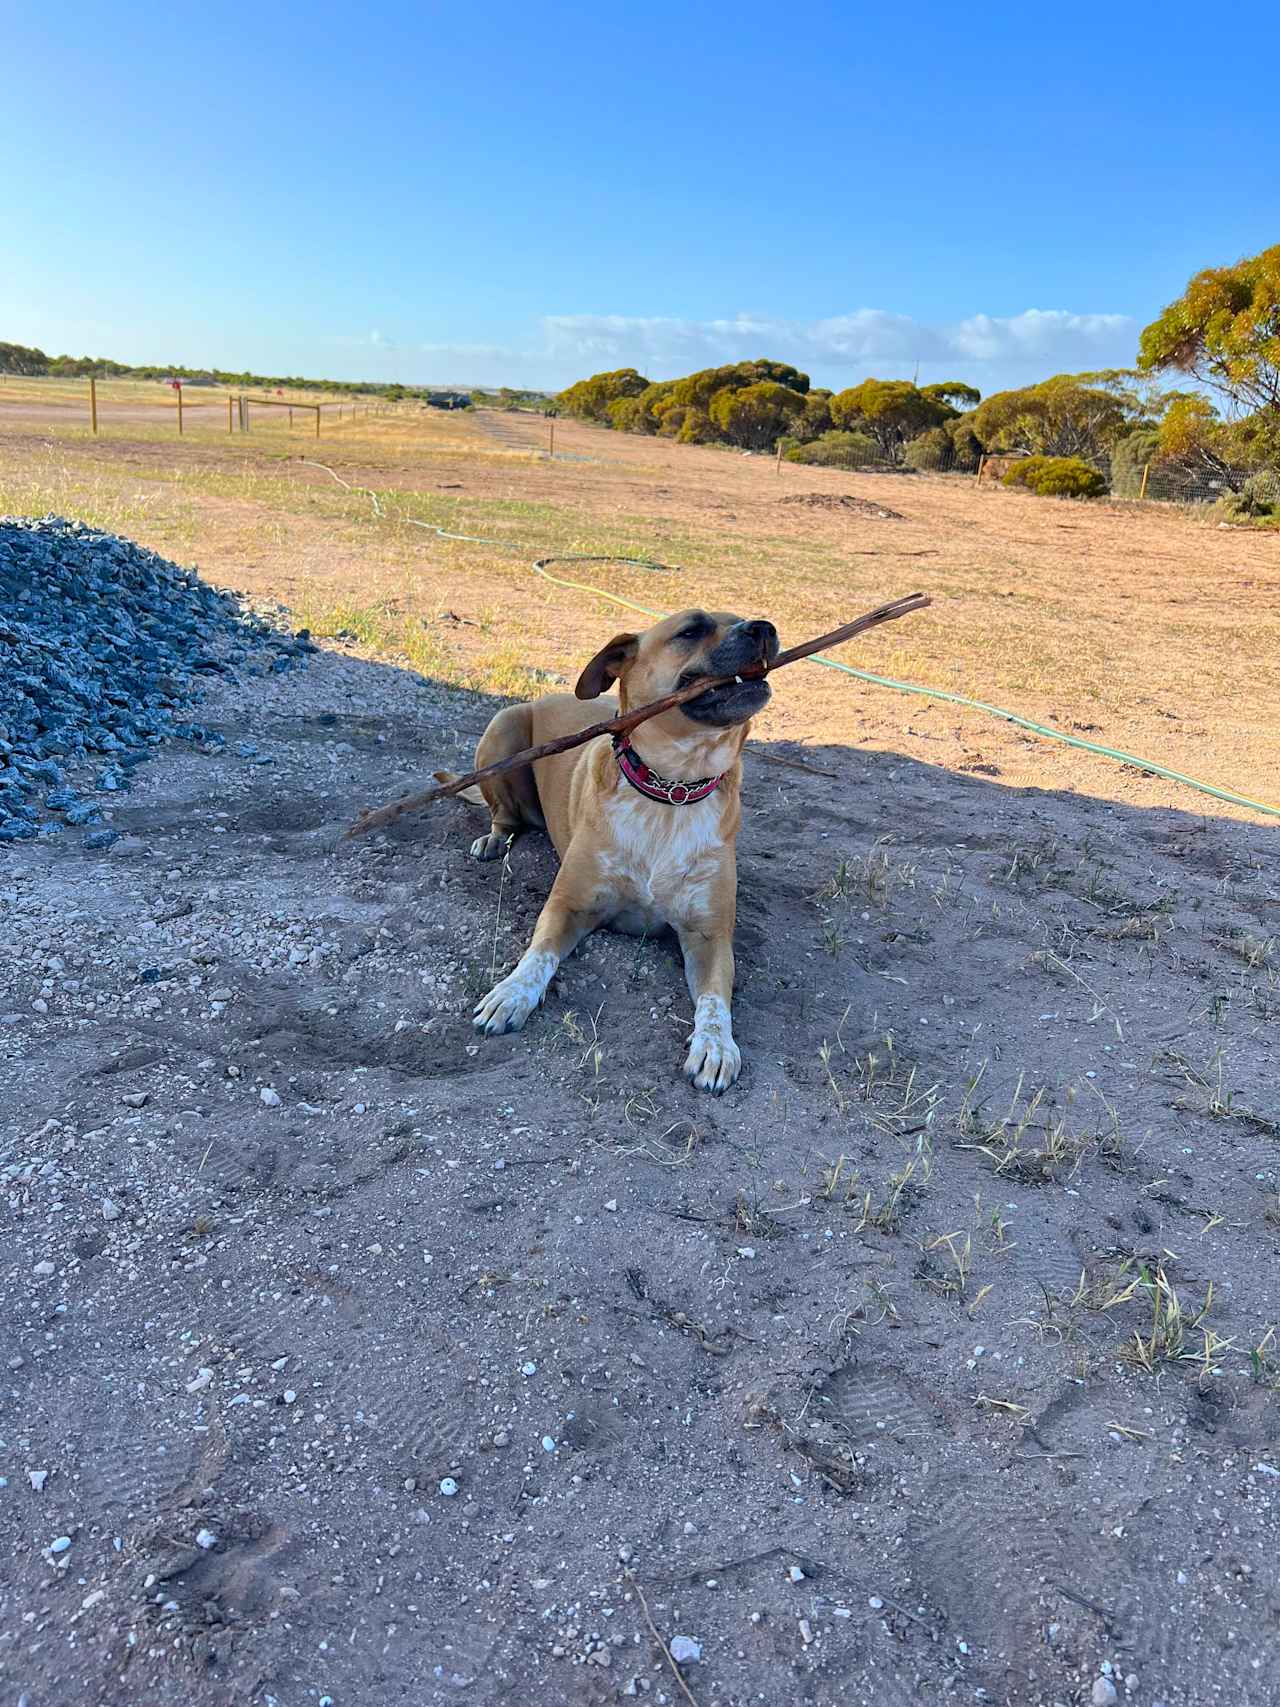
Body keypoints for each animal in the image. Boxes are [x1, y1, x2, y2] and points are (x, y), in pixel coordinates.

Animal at [440, 611, 781, 1092]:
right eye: (692, 629)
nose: (764, 628)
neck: (670, 789)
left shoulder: (709, 934)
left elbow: (715, 1000)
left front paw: (715, 1045)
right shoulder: (568, 906)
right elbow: (537, 955)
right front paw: (510, 993)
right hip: (504, 728)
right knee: (503, 815)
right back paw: (494, 839)